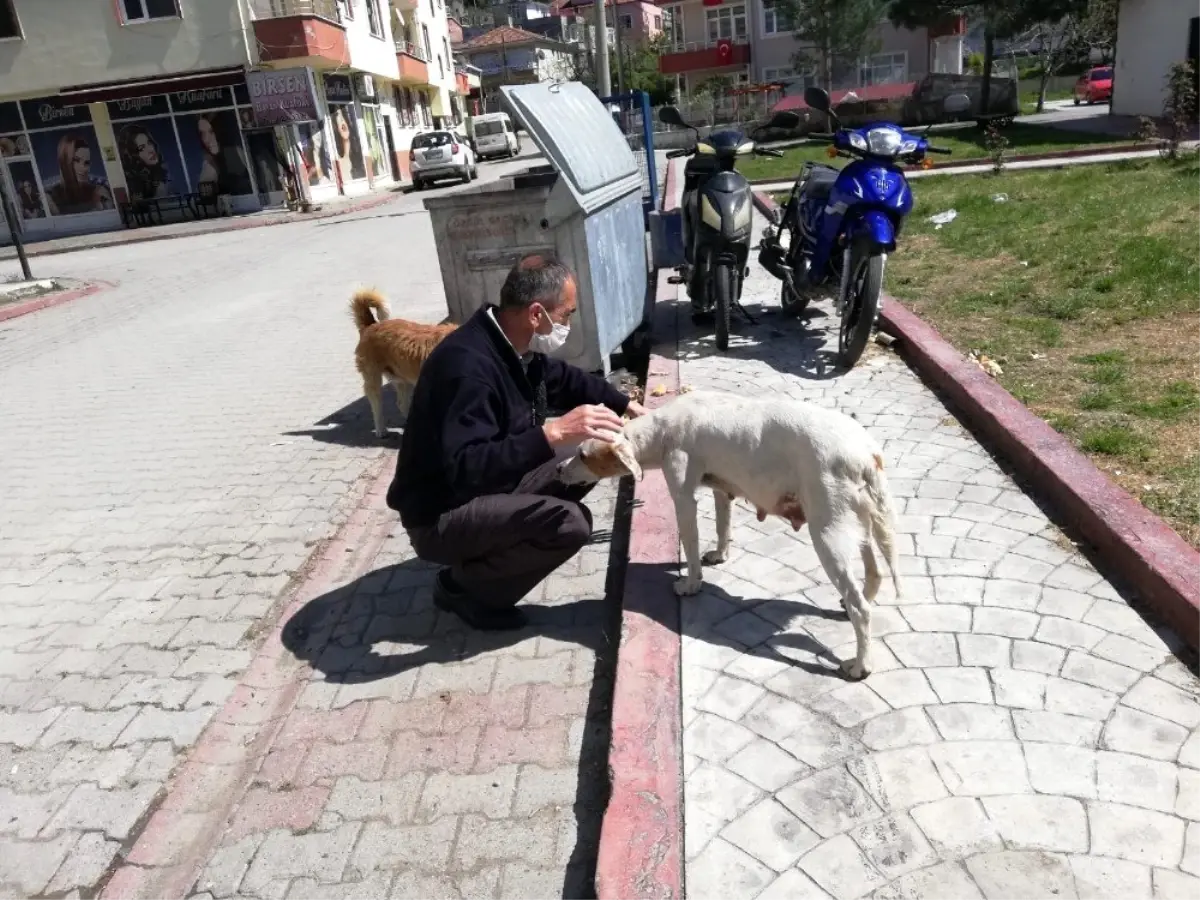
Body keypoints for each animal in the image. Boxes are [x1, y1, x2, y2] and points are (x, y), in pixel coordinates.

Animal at [352, 290, 456, 439]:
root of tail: (371, 325)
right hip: (373, 377)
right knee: (376, 403)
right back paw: (381, 430)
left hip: (401, 377)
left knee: (401, 404)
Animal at [559, 391, 902, 681]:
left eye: (582, 454)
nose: (559, 469)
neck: (662, 429)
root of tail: (867, 453)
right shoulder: (723, 492)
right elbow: (723, 527)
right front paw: (720, 554)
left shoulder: (683, 498)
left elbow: (690, 546)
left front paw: (690, 584)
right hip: (858, 526)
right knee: (874, 574)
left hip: (828, 536)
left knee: (862, 609)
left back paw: (860, 665)